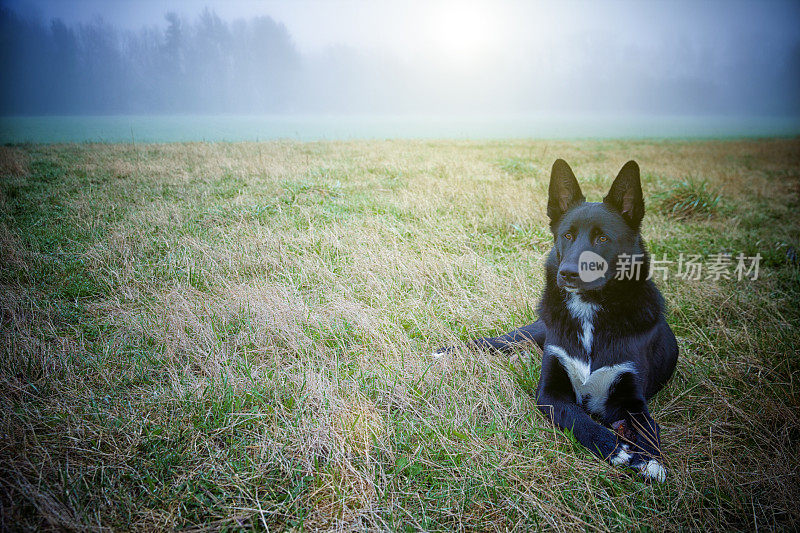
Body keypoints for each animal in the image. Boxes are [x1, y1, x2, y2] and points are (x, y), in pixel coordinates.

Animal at [438, 160, 676, 480]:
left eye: (603, 238)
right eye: (567, 235)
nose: (568, 274)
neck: (589, 310)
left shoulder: (631, 396)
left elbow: (648, 426)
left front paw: (650, 460)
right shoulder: (550, 392)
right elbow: (577, 418)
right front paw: (614, 448)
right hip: (529, 334)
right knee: (495, 342)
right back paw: (449, 352)